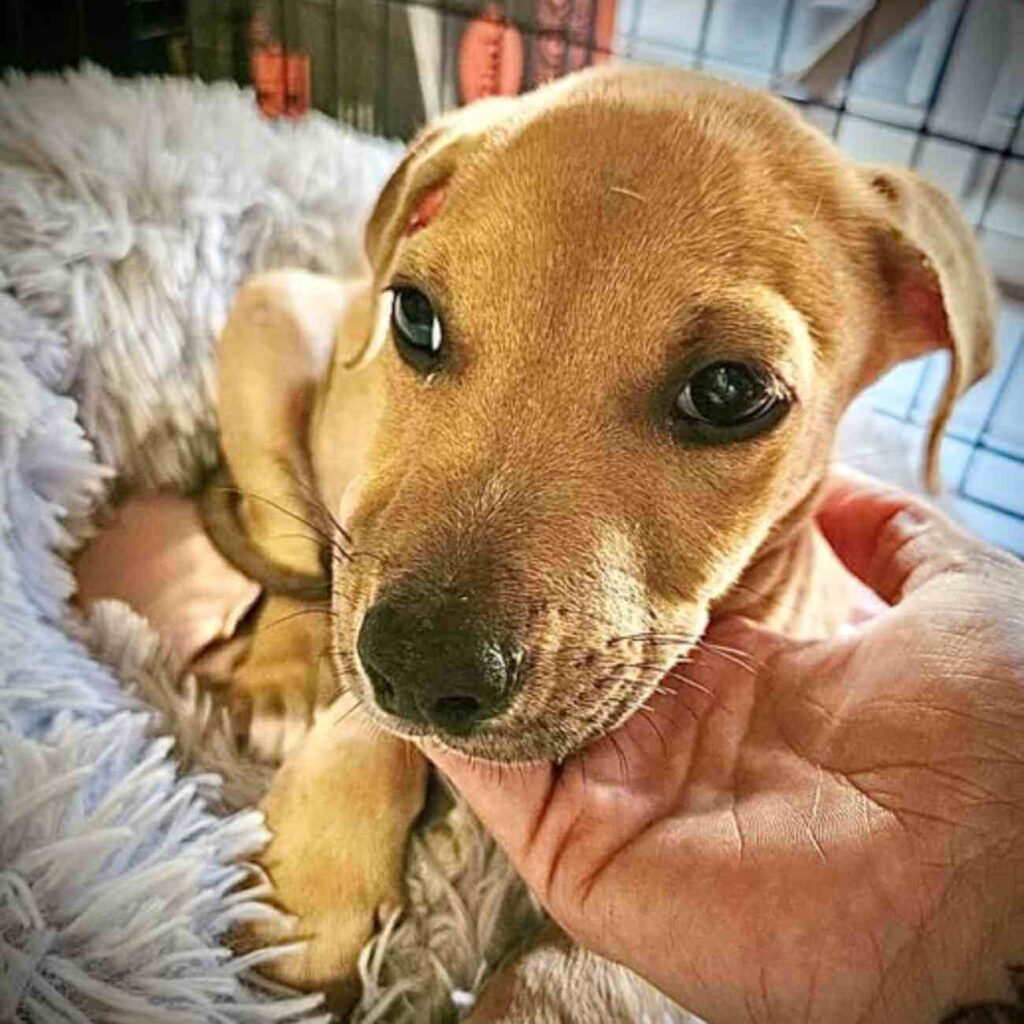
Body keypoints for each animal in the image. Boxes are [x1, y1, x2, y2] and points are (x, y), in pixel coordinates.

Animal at [214, 68, 991, 1019]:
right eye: (415, 316)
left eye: (730, 392)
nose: (421, 670)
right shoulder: (370, 569)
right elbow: (359, 721)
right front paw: (311, 895)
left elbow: (580, 967)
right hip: (270, 313)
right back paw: (280, 679)